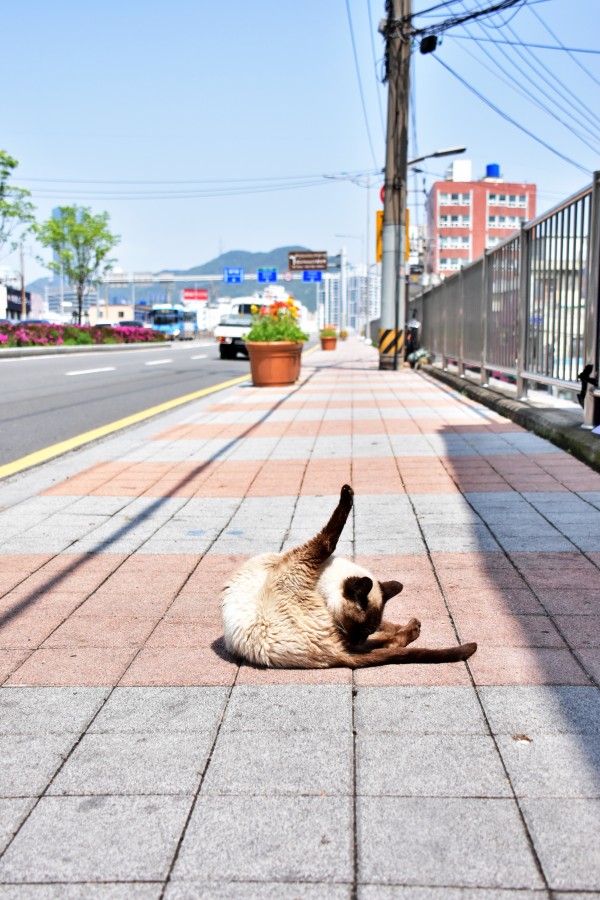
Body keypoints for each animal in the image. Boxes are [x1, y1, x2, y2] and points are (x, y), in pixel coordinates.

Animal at [221, 484, 477, 669]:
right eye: (361, 629)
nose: (358, 640)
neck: (319, 580)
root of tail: (336, 656)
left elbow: (328, 537)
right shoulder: (307, 557)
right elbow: (328, 537)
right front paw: (348, 492)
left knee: (383, 645)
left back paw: (412, 627)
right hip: (343, 642)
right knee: (386, 646)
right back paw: (413, 628)